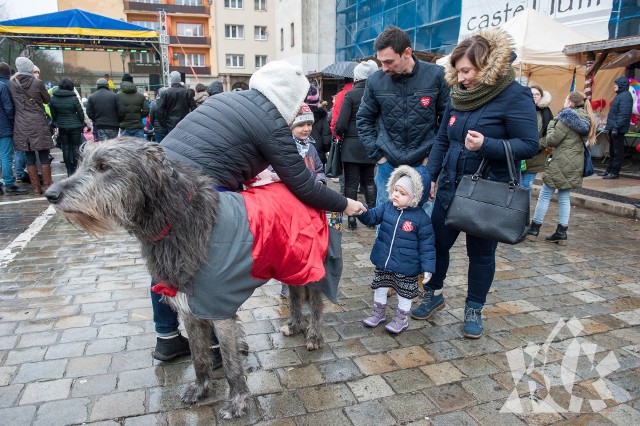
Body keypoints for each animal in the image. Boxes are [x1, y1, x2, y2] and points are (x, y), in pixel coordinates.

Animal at [46, 137, 330, 420]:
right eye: (81, 163)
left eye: (104, 166)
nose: (51, 194)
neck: (180, 220)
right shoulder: (189, 306)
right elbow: (198, 355)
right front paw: (201, 388)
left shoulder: (218, 307)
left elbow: (231, 363)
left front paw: (237, 401)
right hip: (289, 263)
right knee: (295, 293)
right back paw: (294, 324)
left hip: (315, 264)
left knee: (316, 302)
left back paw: (314, 335)